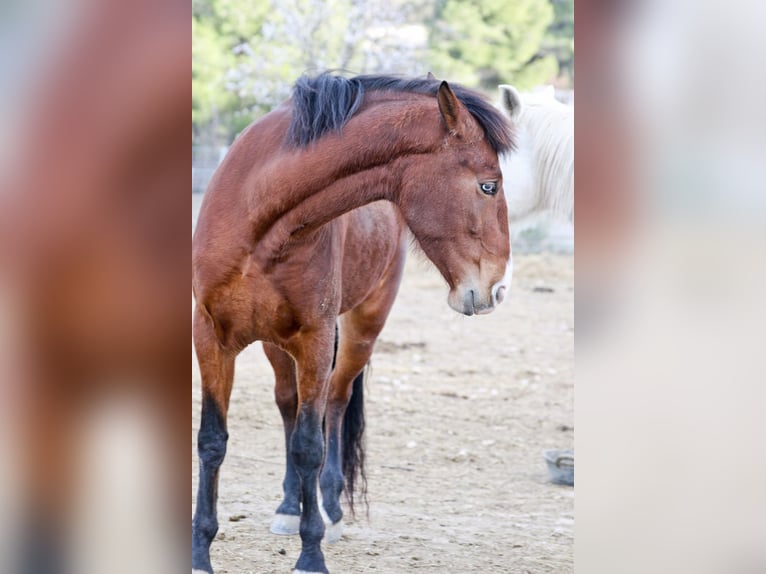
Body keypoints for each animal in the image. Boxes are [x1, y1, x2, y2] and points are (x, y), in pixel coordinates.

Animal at [192, 73, 516, 574]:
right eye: (488, 187)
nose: (497, 288)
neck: (259, 218)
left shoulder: (317, 338)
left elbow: (310, 444)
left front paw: (311, 555)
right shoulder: (211, 337)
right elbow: (212, 440)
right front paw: (199, 554)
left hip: (359, 331)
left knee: (335, 404)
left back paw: (328, 510)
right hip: (275, 345)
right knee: (288, 404)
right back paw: (288, 507)